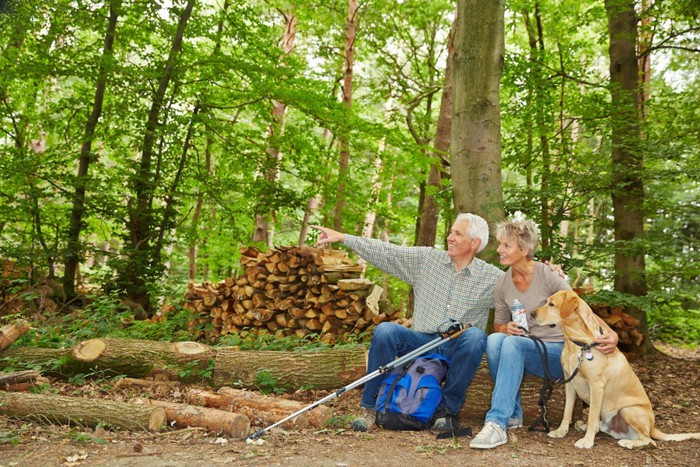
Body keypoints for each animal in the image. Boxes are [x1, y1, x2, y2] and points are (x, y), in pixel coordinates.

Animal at [532, 292, 696, 450]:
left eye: (552, 304)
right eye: (546, 301)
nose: (532, 314)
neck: (578, 343)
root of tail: (653, 427)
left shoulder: (596, 386)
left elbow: (591, 417)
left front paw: (587, 441)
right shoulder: (570, 383)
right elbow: (567, 411)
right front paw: (561, 431)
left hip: (628, 410)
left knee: (649, 441)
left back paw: (629, 443)